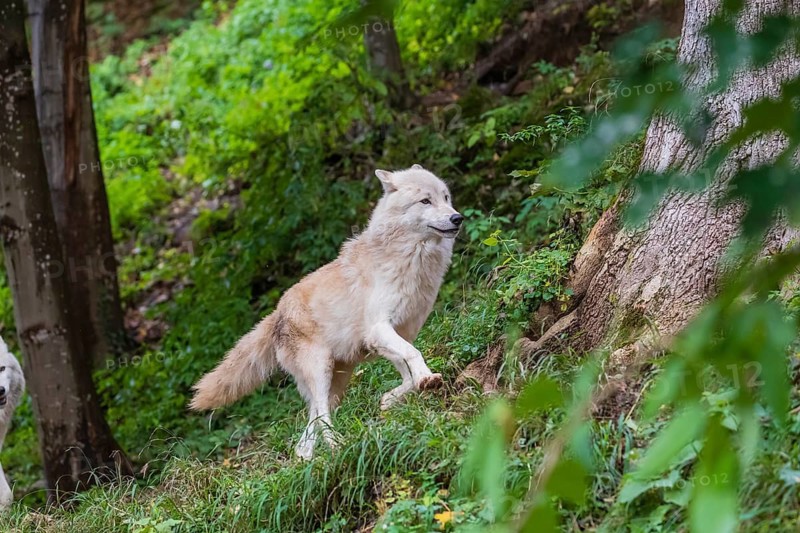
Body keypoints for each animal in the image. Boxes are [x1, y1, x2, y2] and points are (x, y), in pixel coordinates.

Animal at [190, 165, 462, 459]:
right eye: (425, 201)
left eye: (446, 197)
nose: (457, 218)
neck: (409, 258)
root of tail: (275, 314)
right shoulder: (379, 329)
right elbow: (414, 355)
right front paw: (426, 379)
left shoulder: (397, 335)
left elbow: (407, 370)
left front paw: (390, 399)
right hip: (321, 372)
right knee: (321, 417)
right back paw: (340, 446)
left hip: (338, 381)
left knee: (308, 430)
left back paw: (311, 460)